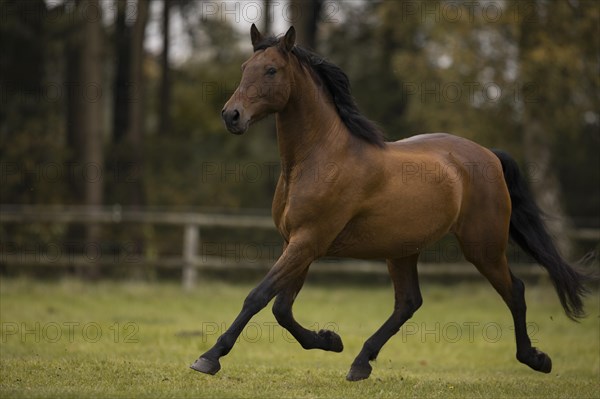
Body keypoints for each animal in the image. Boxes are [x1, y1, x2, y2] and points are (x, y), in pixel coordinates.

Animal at [191, 24, 592, 382]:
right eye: (245, 67)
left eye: (271, 70)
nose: (231, 115)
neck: (318, 158)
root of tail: (489, 156)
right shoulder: (298, 242)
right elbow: (282, 309)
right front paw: (330, 340)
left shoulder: (309, 241)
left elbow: (258, 297)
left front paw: (209, 358)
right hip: (403, 249)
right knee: (408, 303)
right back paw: (359, 363)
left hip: (483, 247)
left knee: (515, 291)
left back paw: (536, 359)